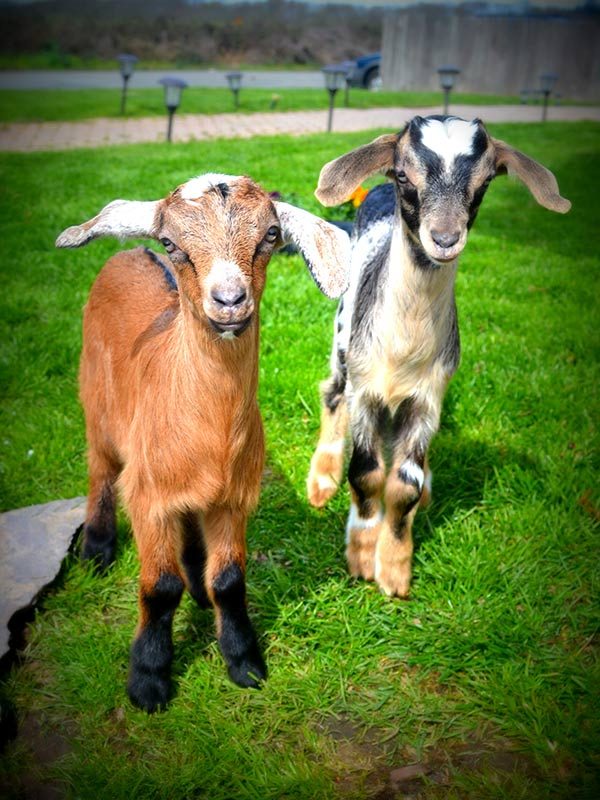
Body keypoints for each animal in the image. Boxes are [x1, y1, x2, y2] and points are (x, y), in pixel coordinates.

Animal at [56, 173, 350, 711]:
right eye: (172, 243)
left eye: (271, 236)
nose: (230, 300)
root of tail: (130, 252)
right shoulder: (148, 497)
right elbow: (159, 587)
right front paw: (148, 680)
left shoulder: (233, 498)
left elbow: (229, 581)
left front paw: (244, 661)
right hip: (96, 407)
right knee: (100, 470)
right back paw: (98, 550)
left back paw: (195, 576)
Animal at [306, 115, 570, 598]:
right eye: (405, 175)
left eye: (484, 182)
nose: (445, 238)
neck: (402, 351)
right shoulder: (366, 391)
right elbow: (366, 473)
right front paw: (361, 555)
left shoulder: (428, 398)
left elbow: (403, 485)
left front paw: (394, 569)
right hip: (343, 333)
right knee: (332, 392)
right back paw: (322, 479)